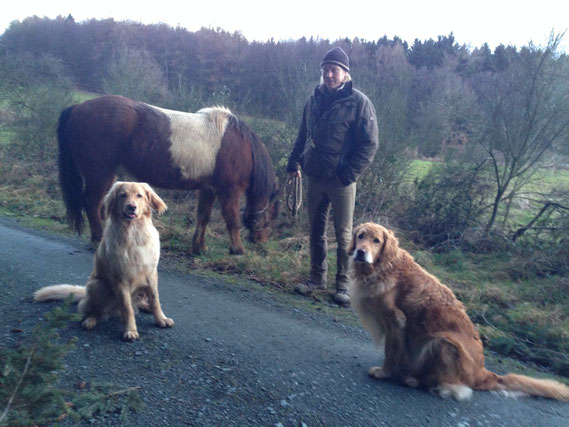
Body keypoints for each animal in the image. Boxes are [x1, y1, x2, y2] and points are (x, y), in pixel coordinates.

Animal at [35, 181, 173, 342]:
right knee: (94, 311)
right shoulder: (120, 279)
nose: (131, 206)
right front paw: (130, 330)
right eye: (123, 195)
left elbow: (155, 300)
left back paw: (146, 307)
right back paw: (90, 321)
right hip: (96, 285)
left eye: (139, 195)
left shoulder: (150, 274)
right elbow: (127, 309)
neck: (133, 233)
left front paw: (161, 319)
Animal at [57, 95, 280, 254]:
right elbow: (232, 220)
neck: (242, 146)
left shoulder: (208, 189)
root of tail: (77, 107)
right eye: (272, 213)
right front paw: (237, 249)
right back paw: (97, 239)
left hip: (108, 175)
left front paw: (199, 247)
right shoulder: (229, 191)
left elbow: (203, 217)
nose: (261, 242)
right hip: (98, 173)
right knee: (91, 202)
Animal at [348, 222, 564, 402]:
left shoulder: (396, 320)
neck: (385, 266)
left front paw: (384, 372)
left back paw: (414, 379)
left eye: (376, 240)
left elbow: (392, 351)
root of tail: (483, 373)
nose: (360, 252)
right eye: (360, 236)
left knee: (448, 384)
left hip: (442, 343)